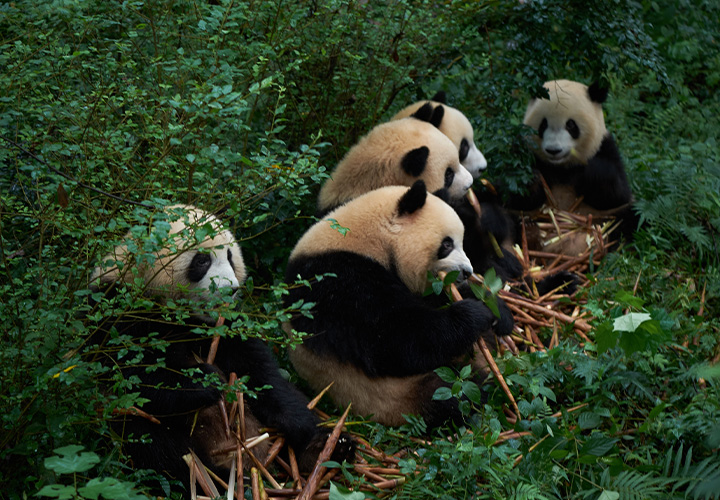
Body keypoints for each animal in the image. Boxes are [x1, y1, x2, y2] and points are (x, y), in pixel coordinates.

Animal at [86, 204, 354, 495]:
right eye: (201, 261)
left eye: (230, 256)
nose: (230, 290)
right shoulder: (114, 310)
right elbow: (131, 371)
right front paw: (206, 380)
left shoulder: (225, 326)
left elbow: (260, 372)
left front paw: (308, 429)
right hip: (129, 420)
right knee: (153, 443)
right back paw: (218, 479)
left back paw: (326, 448)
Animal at [284, 182, 514, 429]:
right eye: (447, 244)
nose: (467, 272)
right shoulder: (337, 284)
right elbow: (393, 339)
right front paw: (474, 314)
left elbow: (434, 299)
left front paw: (499, 313)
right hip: (395, 397)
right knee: (451, 394)